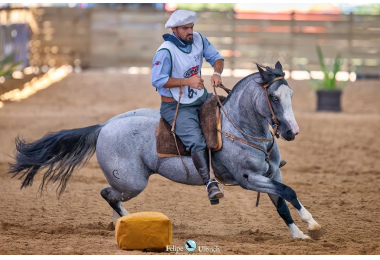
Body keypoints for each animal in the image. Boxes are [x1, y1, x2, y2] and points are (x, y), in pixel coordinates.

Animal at [8, 61, 324, 240]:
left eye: (291, 94)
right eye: (273, 97)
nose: (291, 132)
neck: (241, 128)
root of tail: (104, 126)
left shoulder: (271, 177)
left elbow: (283, 201)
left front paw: (299, 234)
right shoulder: (249, 179)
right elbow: (290, 194)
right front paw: (312, 224)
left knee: (110, 196)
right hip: (132, 182)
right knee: (107, 194)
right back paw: (127, 221)